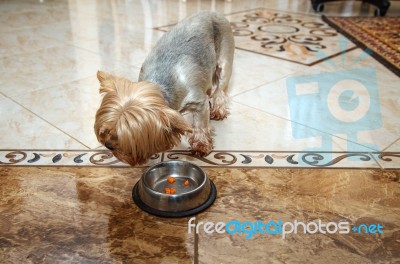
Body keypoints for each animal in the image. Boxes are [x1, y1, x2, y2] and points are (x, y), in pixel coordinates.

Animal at [94, 11, 234, 167]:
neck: (162, 86)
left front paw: (201, 145)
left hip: (225, 55)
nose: (108, 145)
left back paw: (218, 110)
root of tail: (212, 12)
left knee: (221, 88)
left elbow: (200, 124)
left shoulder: (199, 102)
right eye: (108, 128)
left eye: (128, 136)